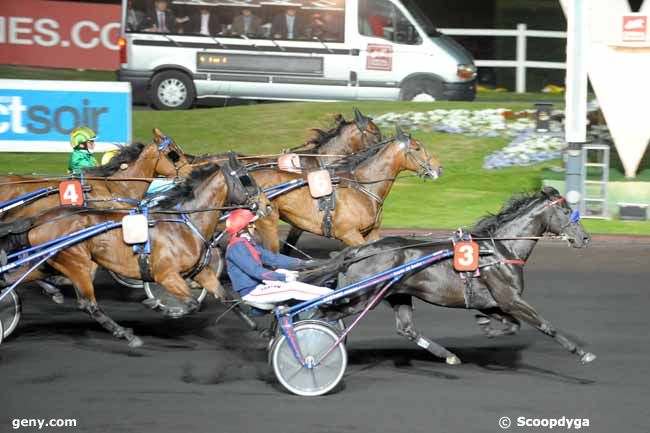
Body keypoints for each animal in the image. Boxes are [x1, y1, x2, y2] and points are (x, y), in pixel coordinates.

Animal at [0, 164, 268, 346]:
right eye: (246, 179)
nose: (266, 206)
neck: (184, 224)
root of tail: (37, 220)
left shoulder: (200, 272)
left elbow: (226, 298)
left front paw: (259, 329)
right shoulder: (166, 275)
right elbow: (192, 304)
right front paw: (161, 306)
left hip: (50, 261)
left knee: (17, 277)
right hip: (77, 262)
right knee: (89, 304)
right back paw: (126, 335)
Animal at [251, 125, 442, 251]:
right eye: (417, 148)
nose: (438, 168)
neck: (363, 187)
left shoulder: (371, 233)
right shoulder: (349, 234)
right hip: (267, 222)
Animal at [302, 188, 596, 364]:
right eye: (567, 212)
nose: (584, 238)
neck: (500, 249)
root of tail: (359, 250)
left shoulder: (495, 303)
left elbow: (510, 325)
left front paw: (486, 325)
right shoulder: (511, 299)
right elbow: (545, 325)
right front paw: (582, 352)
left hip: (397, 294)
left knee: (406, 329)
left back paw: (449, 356)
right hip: (361, 297)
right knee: (323, 313)